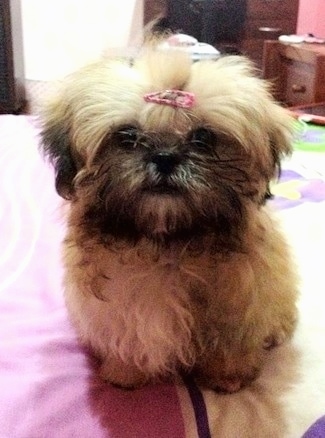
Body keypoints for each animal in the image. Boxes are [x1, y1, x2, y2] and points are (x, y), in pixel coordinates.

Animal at [41, 46, 298, 392]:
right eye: (127, 136)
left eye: (203, 138)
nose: (165, 157)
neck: (164, 244)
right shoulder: (116, 310)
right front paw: (125, 372)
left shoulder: (241, 308)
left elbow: (230, 346)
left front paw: (225, 378)